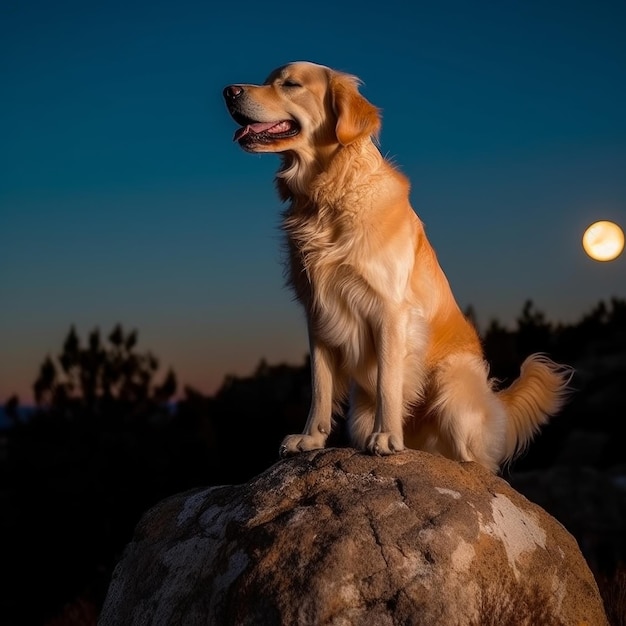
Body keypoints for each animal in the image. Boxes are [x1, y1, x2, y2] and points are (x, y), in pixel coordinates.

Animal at [224, 62, 572, 468]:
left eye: (290, 84)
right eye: (267, 80)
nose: (228, 91)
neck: (330, 194)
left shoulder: (390, 309)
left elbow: (388, 380)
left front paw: (387, 435)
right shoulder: (317, 314)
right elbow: (320, 386)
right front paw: (311, 438)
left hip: (451, 383)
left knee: (476, 461)